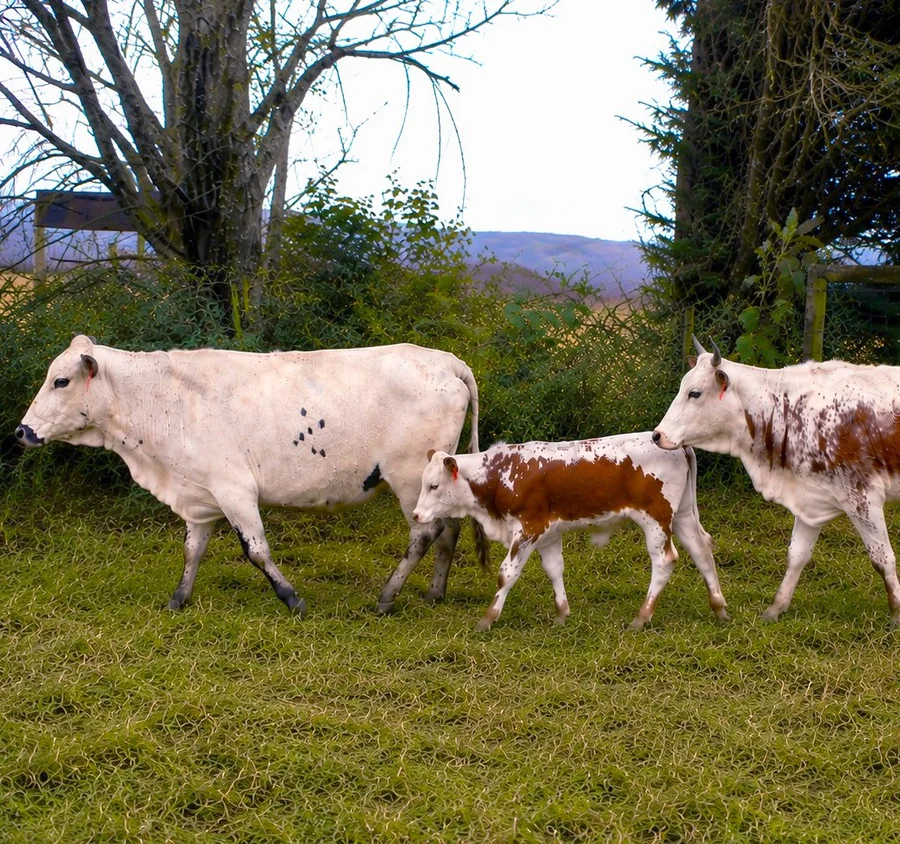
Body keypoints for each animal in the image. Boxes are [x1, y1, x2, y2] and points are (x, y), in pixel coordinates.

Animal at [16, 335, 488, 615]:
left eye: (60, 381)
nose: (22, 431)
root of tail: (446, 360)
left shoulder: (234, 491)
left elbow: (256, 550)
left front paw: (292, 598)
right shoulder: (200, 495)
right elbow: (192, 550)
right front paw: (178, 599)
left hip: (409, 479)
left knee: (424, 536)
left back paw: (388, 597)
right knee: (447, 532)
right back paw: (435, 593)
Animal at [412, 433, 729, 630]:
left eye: (434, 486)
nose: (416, 514)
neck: (502, 473)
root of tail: (678, 445)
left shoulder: (528, 529)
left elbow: (507, 574)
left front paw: (488, 619)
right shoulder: (549, 533)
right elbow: (554, 569)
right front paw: (562, 615)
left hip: (656, 518)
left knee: (664, 561)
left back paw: (641, 617)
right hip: (683, 515)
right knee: (701, 551)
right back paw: (719, 609)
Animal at [652, 337, 900, 625]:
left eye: (694, 393)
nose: (657, 435)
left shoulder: (863, 497)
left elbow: (882, 558)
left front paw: (896, 613)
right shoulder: (810, 495)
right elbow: (797, 555)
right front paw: (776, 608)